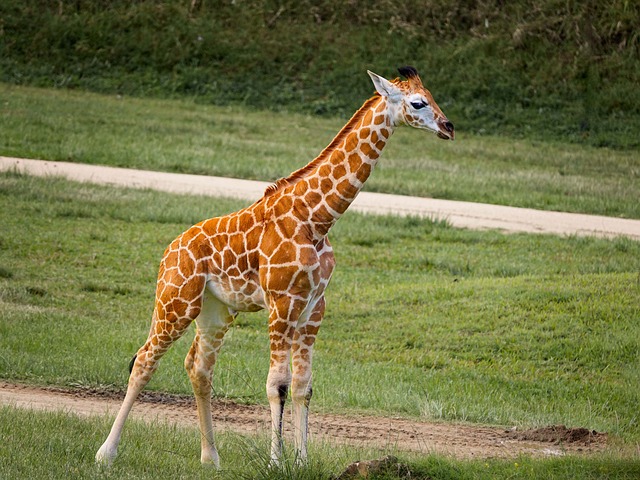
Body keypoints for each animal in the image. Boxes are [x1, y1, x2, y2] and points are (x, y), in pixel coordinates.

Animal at [96, 65, 456, 466]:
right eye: (418, 102)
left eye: (432, 95)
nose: (449, 126)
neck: (316, 219)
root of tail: (168, 250)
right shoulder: (281, 302)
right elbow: (276, 385)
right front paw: (275, 461)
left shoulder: (314, 306)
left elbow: (303, 386)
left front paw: (302, 460)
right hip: (177, 299)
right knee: (144, 360)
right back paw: (106, 453)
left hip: (216, 310)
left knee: (199, 367)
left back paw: (211, 458)